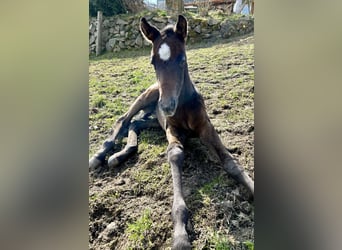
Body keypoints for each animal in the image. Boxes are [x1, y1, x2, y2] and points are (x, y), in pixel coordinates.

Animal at [89, 15, 255, 250]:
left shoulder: (207, 129)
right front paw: (180, 235)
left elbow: (231, 161)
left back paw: (119, 156)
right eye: (153, 61)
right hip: (147, 97)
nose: (167, 106)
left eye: (182, 58)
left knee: (135, 124)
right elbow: (175, 154)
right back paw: (99, 155)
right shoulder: (172, 130)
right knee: (124, 120)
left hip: (154, 120)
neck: (184, 106)